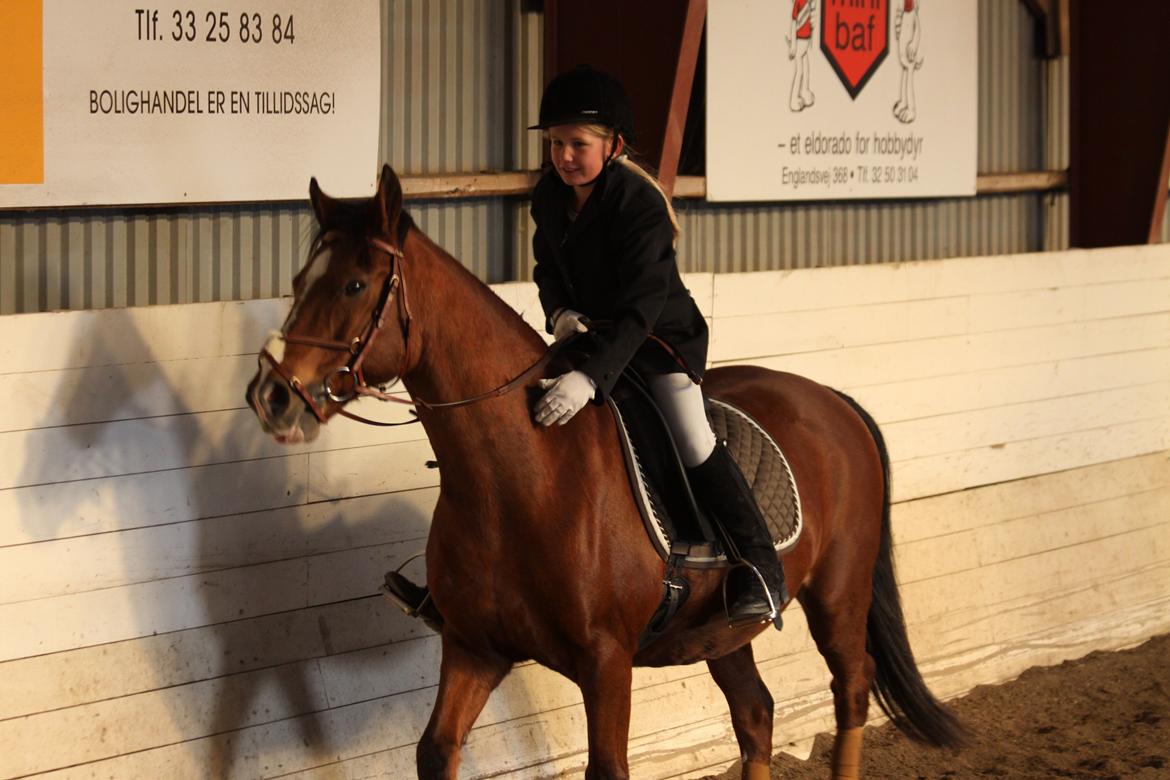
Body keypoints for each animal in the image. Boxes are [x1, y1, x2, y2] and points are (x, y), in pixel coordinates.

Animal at [245, 165, 964, 779]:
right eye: (297, 283)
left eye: (354, 285)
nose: (271, 396)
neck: (520, 477)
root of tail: (830, 399)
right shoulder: (475, 649)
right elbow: (437, 750)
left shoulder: (607, 663)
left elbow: (608, 765)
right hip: (721, 632)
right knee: (756, 713)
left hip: (839, 593)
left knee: (851, 689)